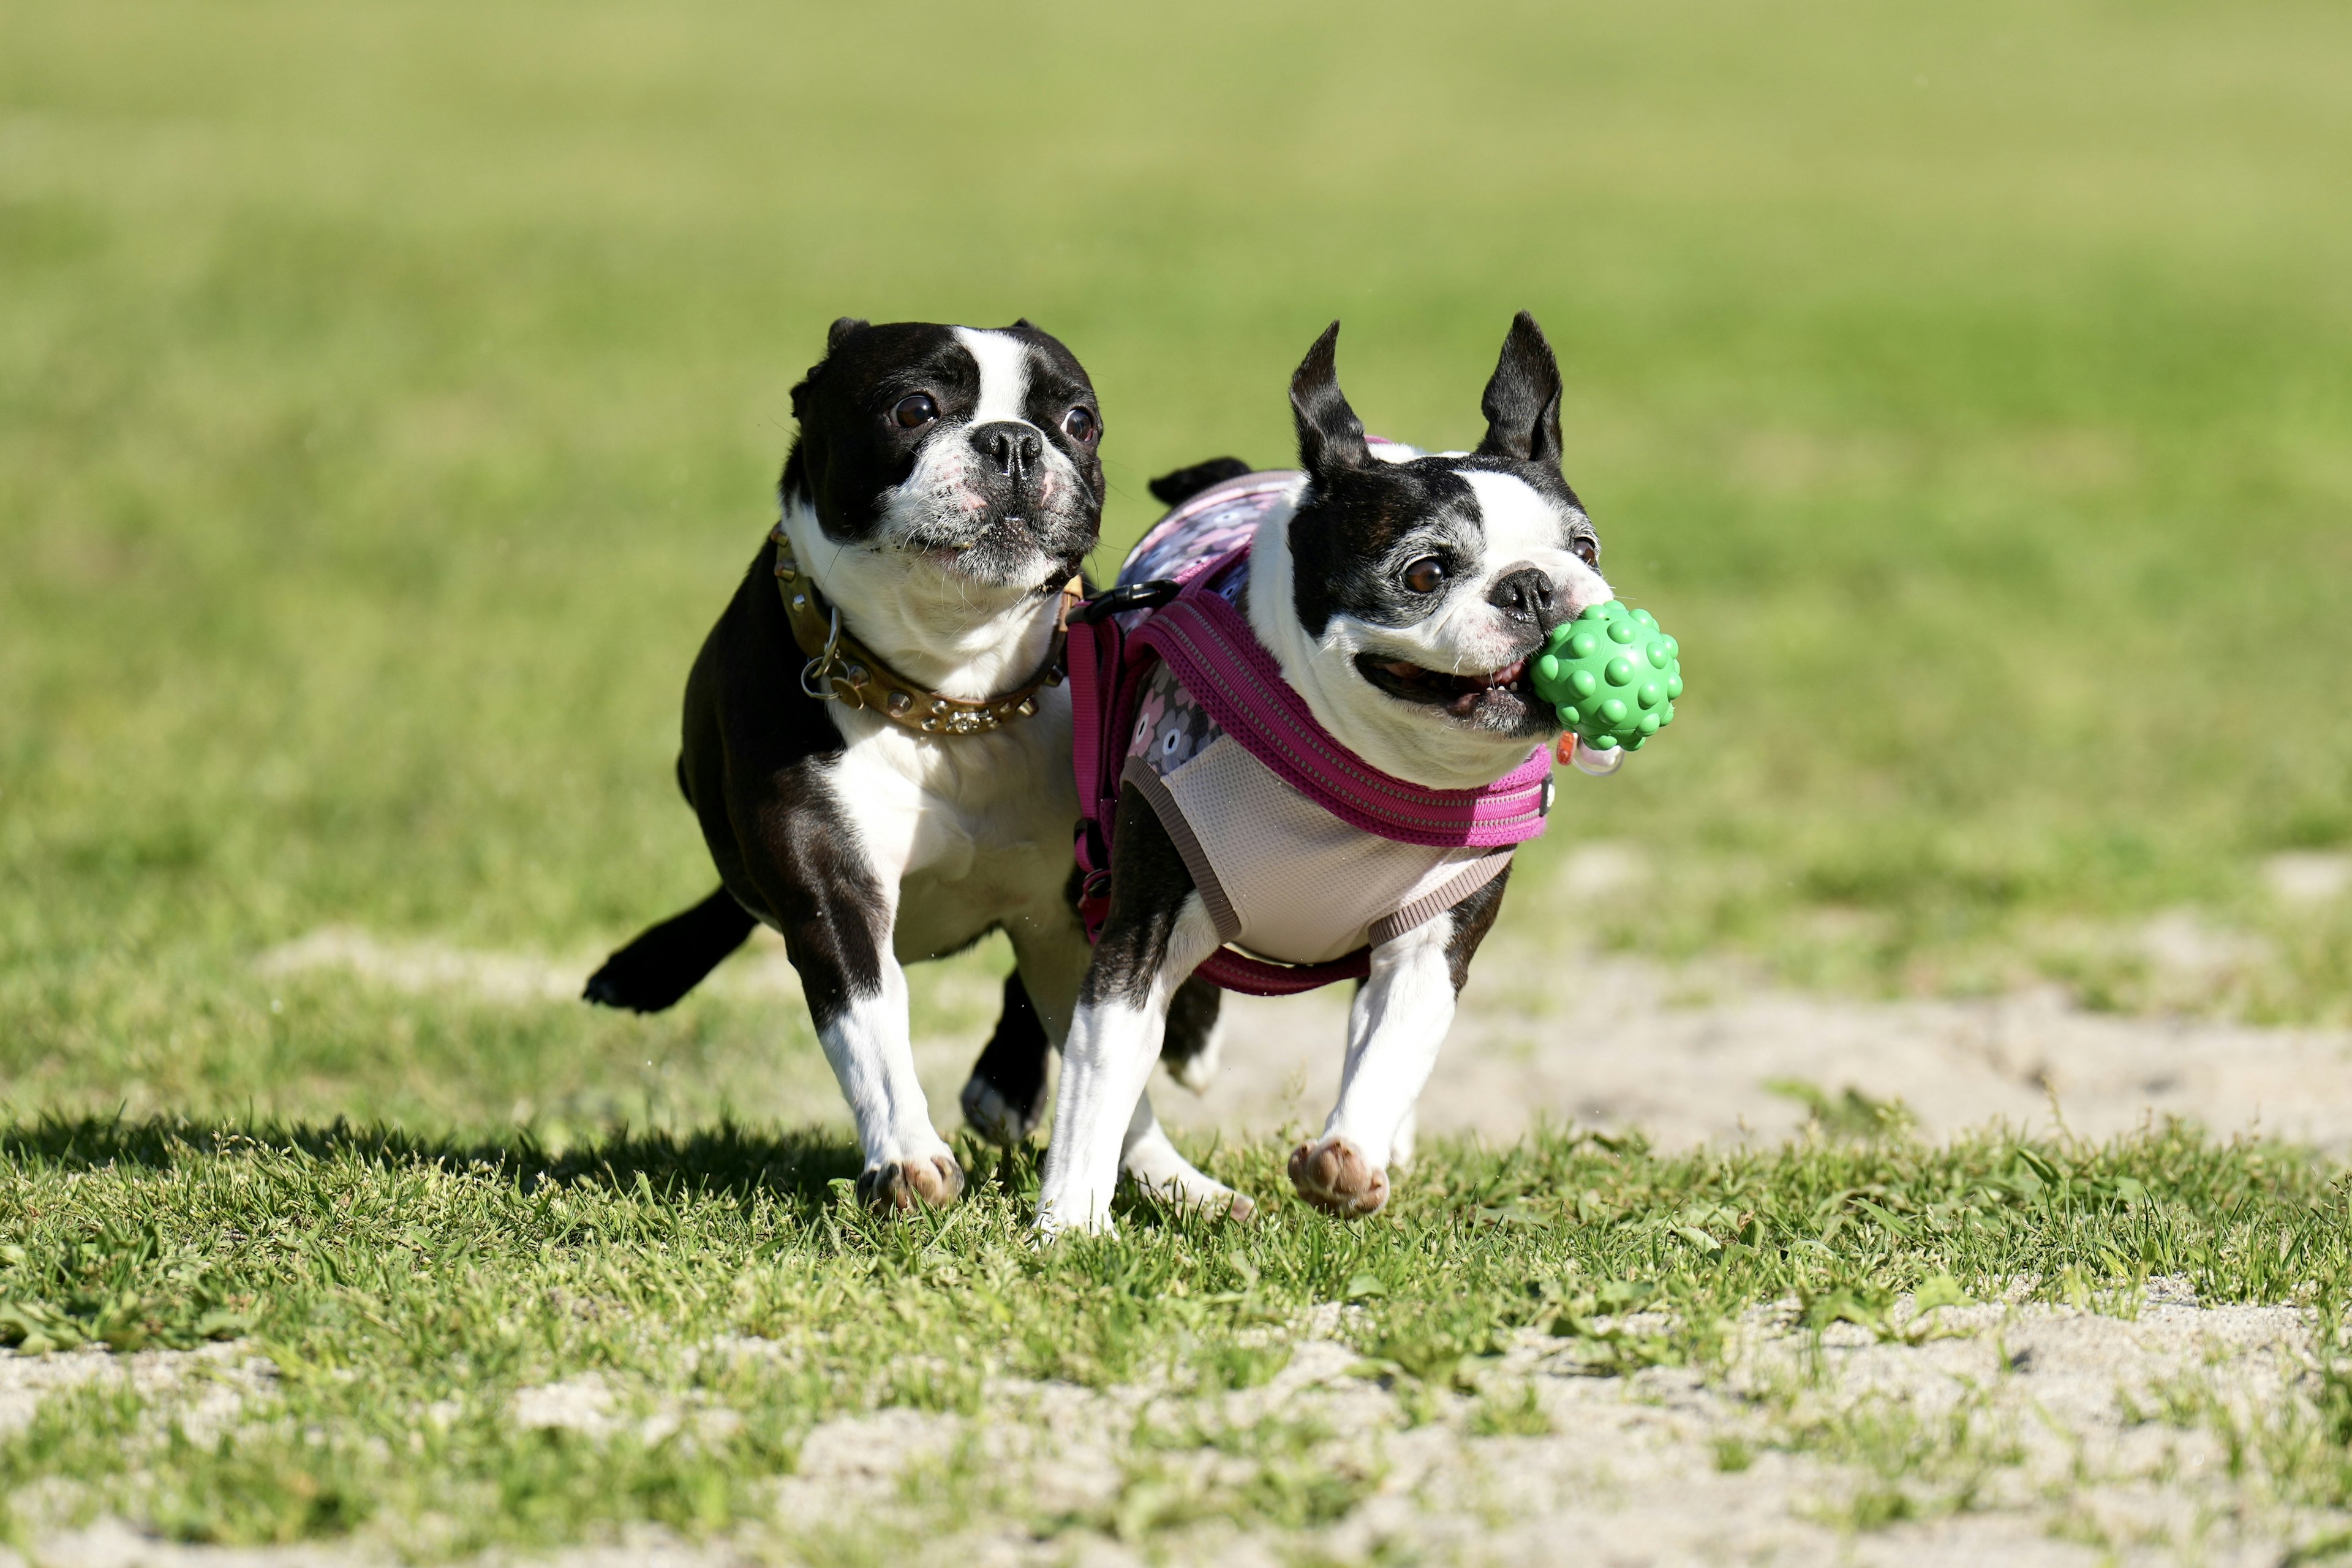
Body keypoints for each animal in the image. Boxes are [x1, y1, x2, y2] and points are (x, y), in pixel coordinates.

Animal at [583, 315, 1124, 1204]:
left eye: (1078, 422)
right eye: (915, 408)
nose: (1013, 440)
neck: (948, 697)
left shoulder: (1078, 891)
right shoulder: (831, 887)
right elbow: (869, 1032)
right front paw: (907, 1154)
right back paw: (647, 966)